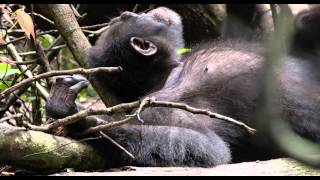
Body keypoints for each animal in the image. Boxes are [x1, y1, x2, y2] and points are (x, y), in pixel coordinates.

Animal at [45, 5, 320, 167]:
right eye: (127, 18)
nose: (133, 13)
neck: (168, 75)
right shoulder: (164, 106)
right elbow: (208, 148)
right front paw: (80, 119)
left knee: (304, 23)